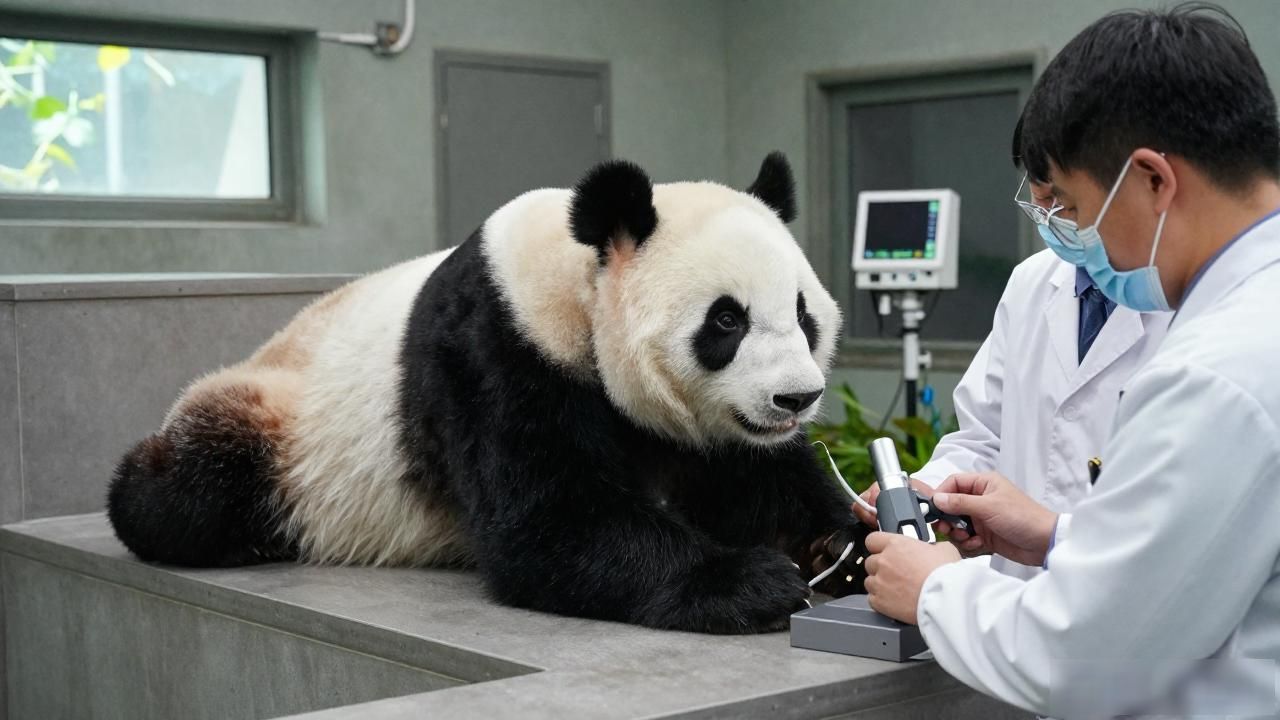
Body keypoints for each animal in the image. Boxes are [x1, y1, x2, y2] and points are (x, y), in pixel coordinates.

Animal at [106, 152, 870, 634]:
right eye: (726, 321)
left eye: (803, 314)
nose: (796, 399)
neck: (576, 281)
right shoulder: (494, 353)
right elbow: (547, 522)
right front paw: (754, 583)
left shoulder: (715, 434)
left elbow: (759, 478)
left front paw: (846, 546)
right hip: (285, 421)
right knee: (193, 482)